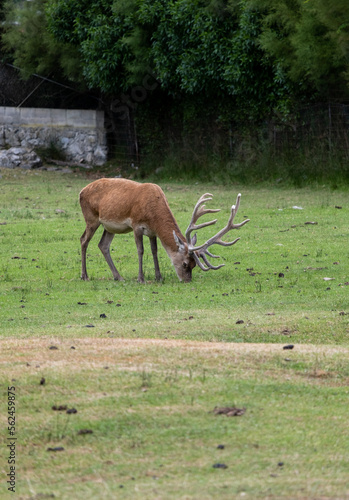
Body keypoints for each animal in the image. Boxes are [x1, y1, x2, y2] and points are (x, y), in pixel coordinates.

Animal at [79, 178, 247, 284]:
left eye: (194, 265)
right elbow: (140, 250)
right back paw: (85, 276)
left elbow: (154, 251)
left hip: (109, 226)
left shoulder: (152, 232)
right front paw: (141, 279)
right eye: (185, 264)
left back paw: (118, 277)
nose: (187, 280)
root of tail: (81, 191)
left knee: (103, 245)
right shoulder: (136, 225)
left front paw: (158, 277)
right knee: (83, 240)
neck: (153, 213)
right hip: (91, 218)